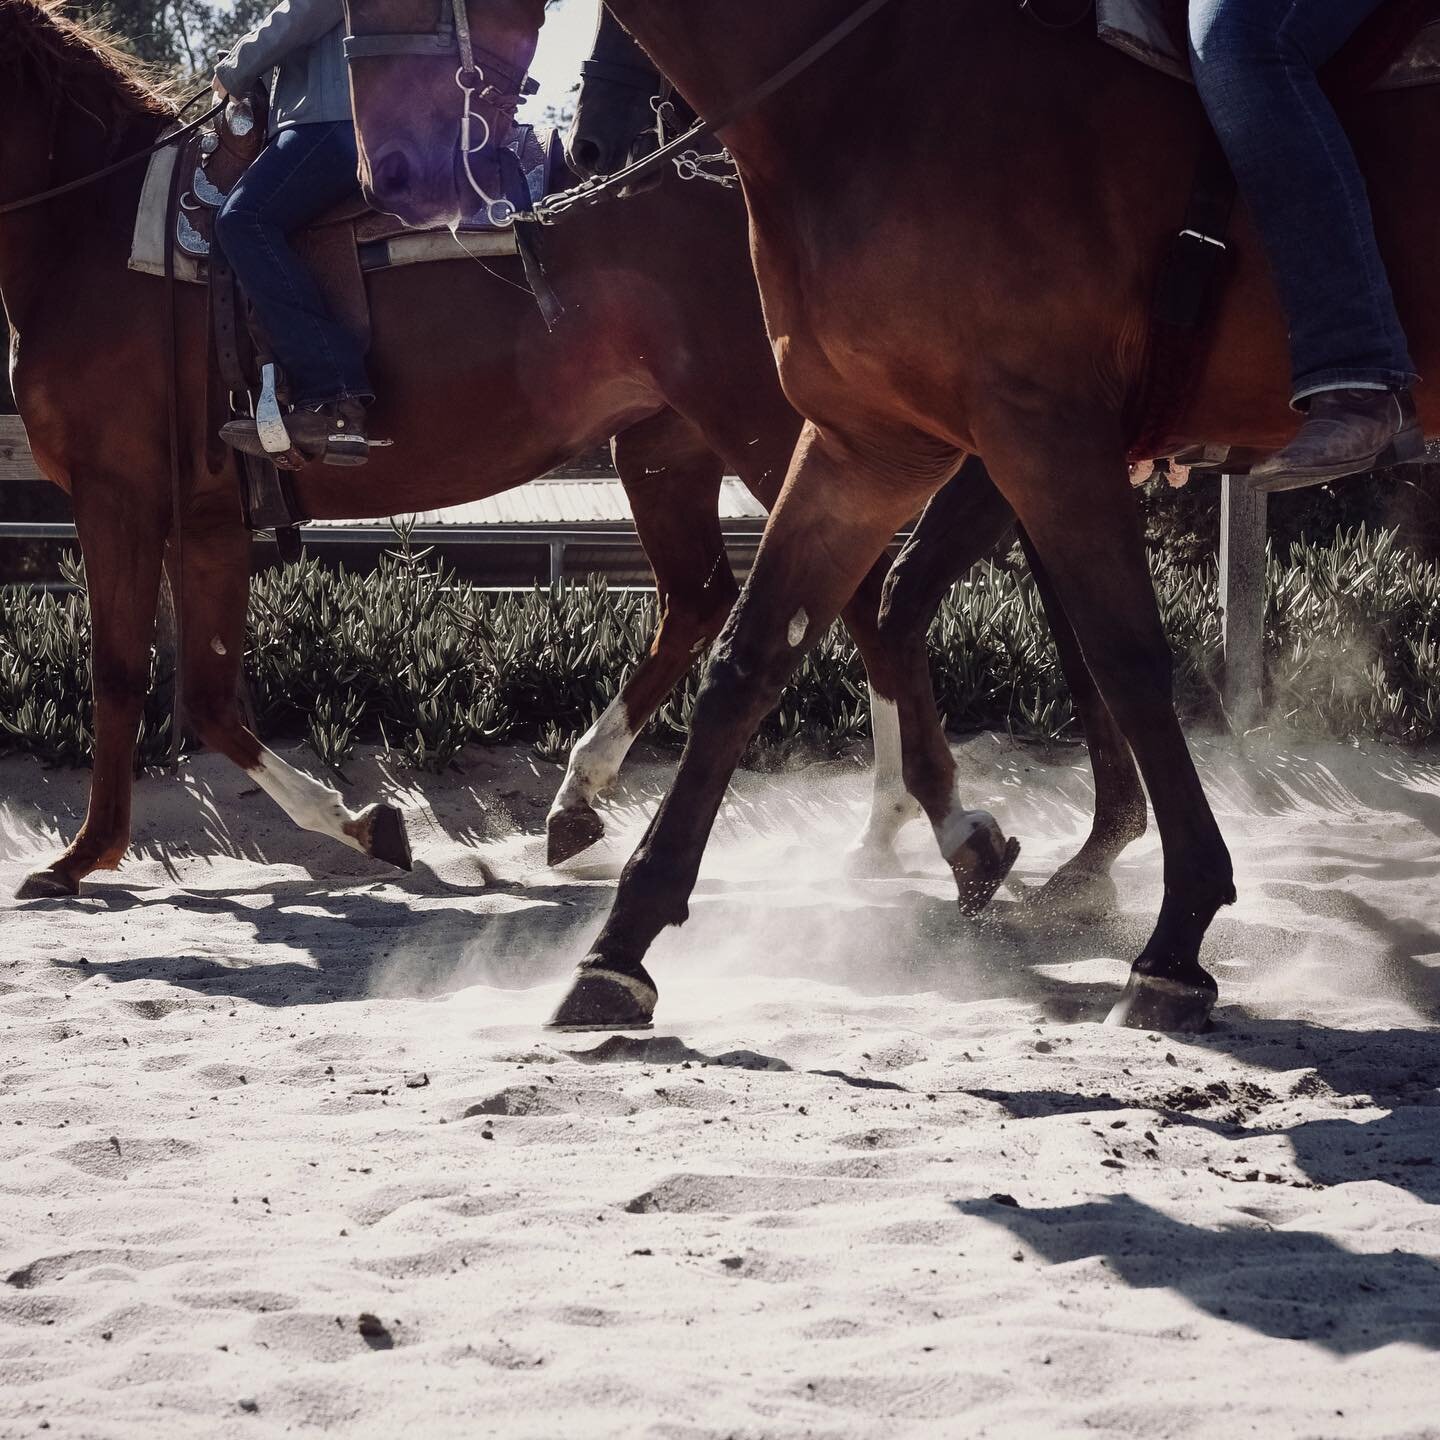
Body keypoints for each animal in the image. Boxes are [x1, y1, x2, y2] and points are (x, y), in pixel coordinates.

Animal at [345, 0, 1440, 1036]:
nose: (390, 170)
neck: (877, 83)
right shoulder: (867, 445)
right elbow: (753, 662)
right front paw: (620, 952)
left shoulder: (1039, 429)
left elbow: (1122, 655)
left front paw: (1172, 945)